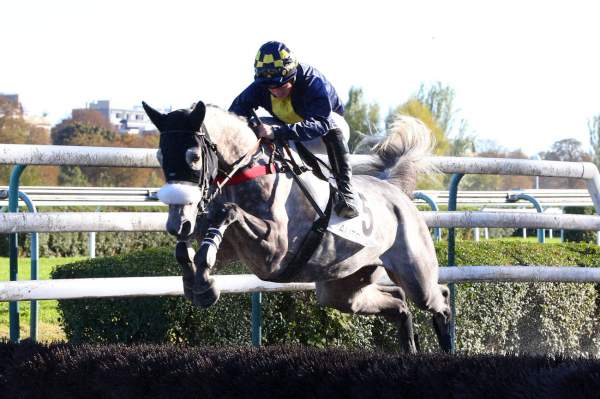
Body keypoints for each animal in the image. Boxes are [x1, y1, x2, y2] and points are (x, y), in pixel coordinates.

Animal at [141, 100, 450, 354]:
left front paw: (204, 283)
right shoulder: (236, 248)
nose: (177, 223)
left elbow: (228, 213)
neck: (250, 170)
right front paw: (199, 283)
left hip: (415, 273)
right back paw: (410, 348)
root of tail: (394, 190)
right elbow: (195, 246)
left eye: (194, 157)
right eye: (160, 157)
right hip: (342, 288)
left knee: (439, 296)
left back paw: (446, 347)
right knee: (398, 302)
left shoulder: (274, 251)